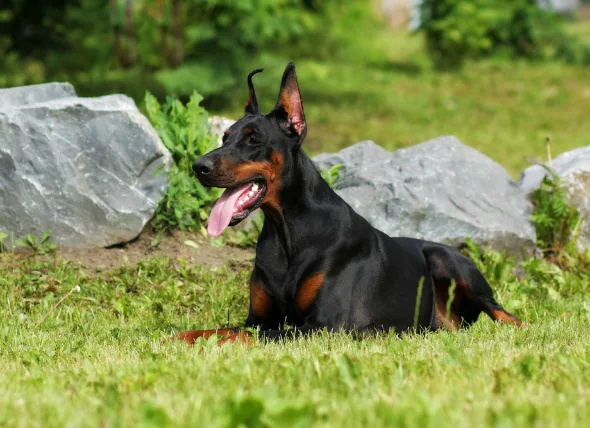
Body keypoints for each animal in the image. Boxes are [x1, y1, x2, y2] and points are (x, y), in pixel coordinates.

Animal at [172, 62, 524, 344]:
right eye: (224, 138)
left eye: (253, 139)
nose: (198, 166)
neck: (288, 231)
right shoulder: (259, 319)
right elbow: (221, 329)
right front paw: (175, 338)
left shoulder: (325, 326)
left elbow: (241, 335)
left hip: (448, 261)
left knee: (508, 315)